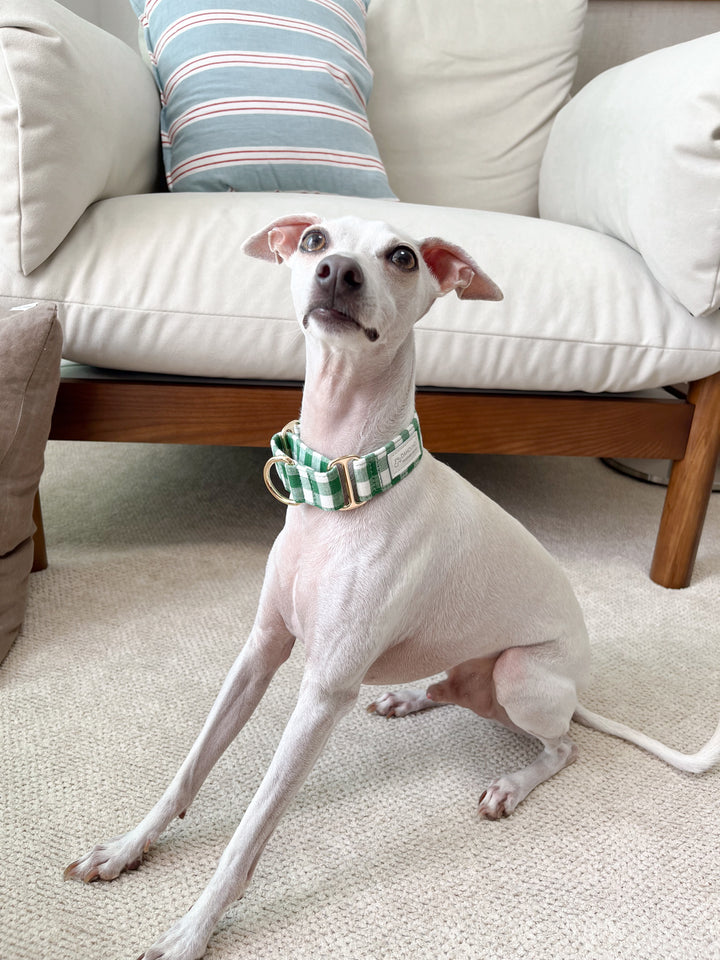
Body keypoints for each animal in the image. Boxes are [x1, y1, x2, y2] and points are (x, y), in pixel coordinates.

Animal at [66, 218, 720, 960]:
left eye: (403, 256)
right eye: (314, 240)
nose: (338, 273)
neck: (344, 483)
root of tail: (575, 688)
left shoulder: (324, 693)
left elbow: (249, 831)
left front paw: (190, 931)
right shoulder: (260, 650)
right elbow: (189, 767)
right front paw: (125, 849)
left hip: (521, 678)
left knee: (563, 747)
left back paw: (510, 785)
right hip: (477, 679)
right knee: (451, 688)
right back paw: (408, 697)